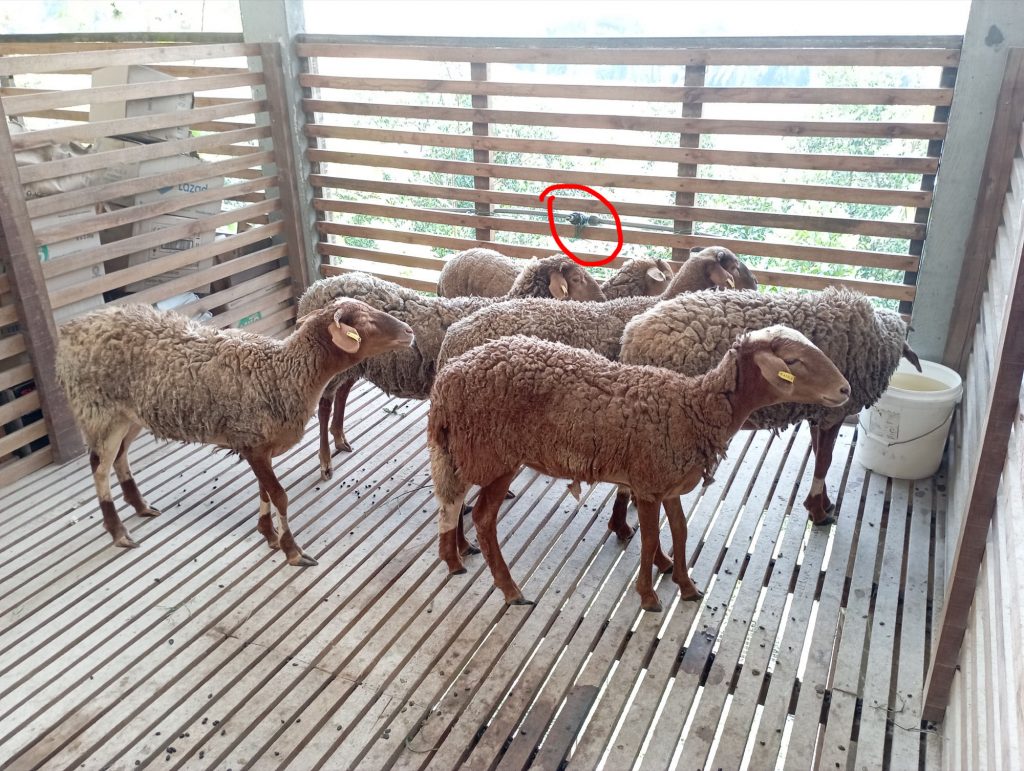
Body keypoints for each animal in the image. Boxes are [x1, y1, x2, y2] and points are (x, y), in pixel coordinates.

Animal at [55, 299, 414, 566]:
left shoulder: (257, 444)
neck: (284, 373)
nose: (409, 332)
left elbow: (264, 492)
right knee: (100, 468)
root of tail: (73, 329)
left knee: (120, 457)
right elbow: (279, 496)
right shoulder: (253, 443)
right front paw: (292, 550)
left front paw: (268, 534)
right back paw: (118, 531)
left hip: (131, 415)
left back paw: (141, 506)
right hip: (100, 410)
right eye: (365, 321)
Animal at [428, 328, 850, 610]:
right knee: (482, 516)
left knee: (454, 499)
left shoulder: (668, 482)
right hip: (495, 453)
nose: (845, 389)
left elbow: (679, 531)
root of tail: (446, 380)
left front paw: (685, 584)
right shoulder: (647, 483)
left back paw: (458, 554)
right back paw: (510, 589)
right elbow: (649, 538)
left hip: (466, 450)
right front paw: (648, 595)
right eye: (793, 362)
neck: (694, 407)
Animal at [615, 286, 922, 532]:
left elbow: (820, 455)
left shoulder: (819, 412)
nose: (844, 389)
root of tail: (632, 334)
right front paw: (818, 511)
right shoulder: (832, 414)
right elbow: (825, 460)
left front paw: (823, 503)